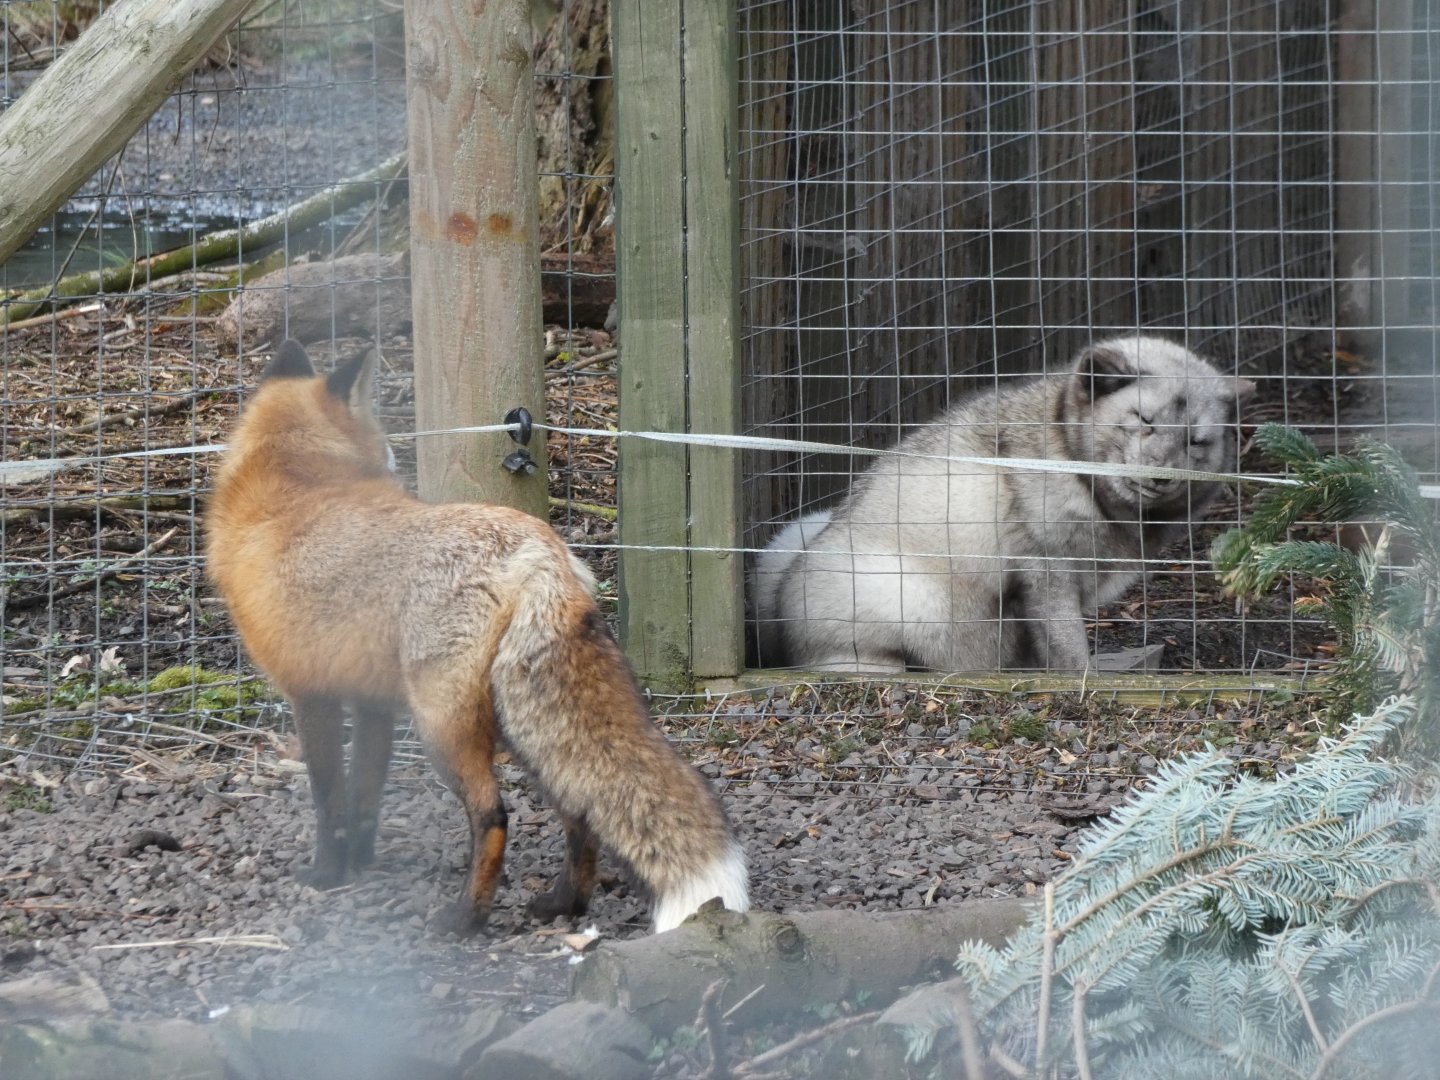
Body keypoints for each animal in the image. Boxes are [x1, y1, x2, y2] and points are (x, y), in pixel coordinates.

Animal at [205, 340, 748, 934]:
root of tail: (537, 548)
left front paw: (328, 873)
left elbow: (329, 799)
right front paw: (362, 863)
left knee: (493, 814)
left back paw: (464, 917)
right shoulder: (373, 703)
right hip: (526, 725)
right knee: (581, 811)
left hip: (444, 724)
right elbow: (366, 794)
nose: (394, 459)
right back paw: (563, 903)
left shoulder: (311, 693)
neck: (288, 489)